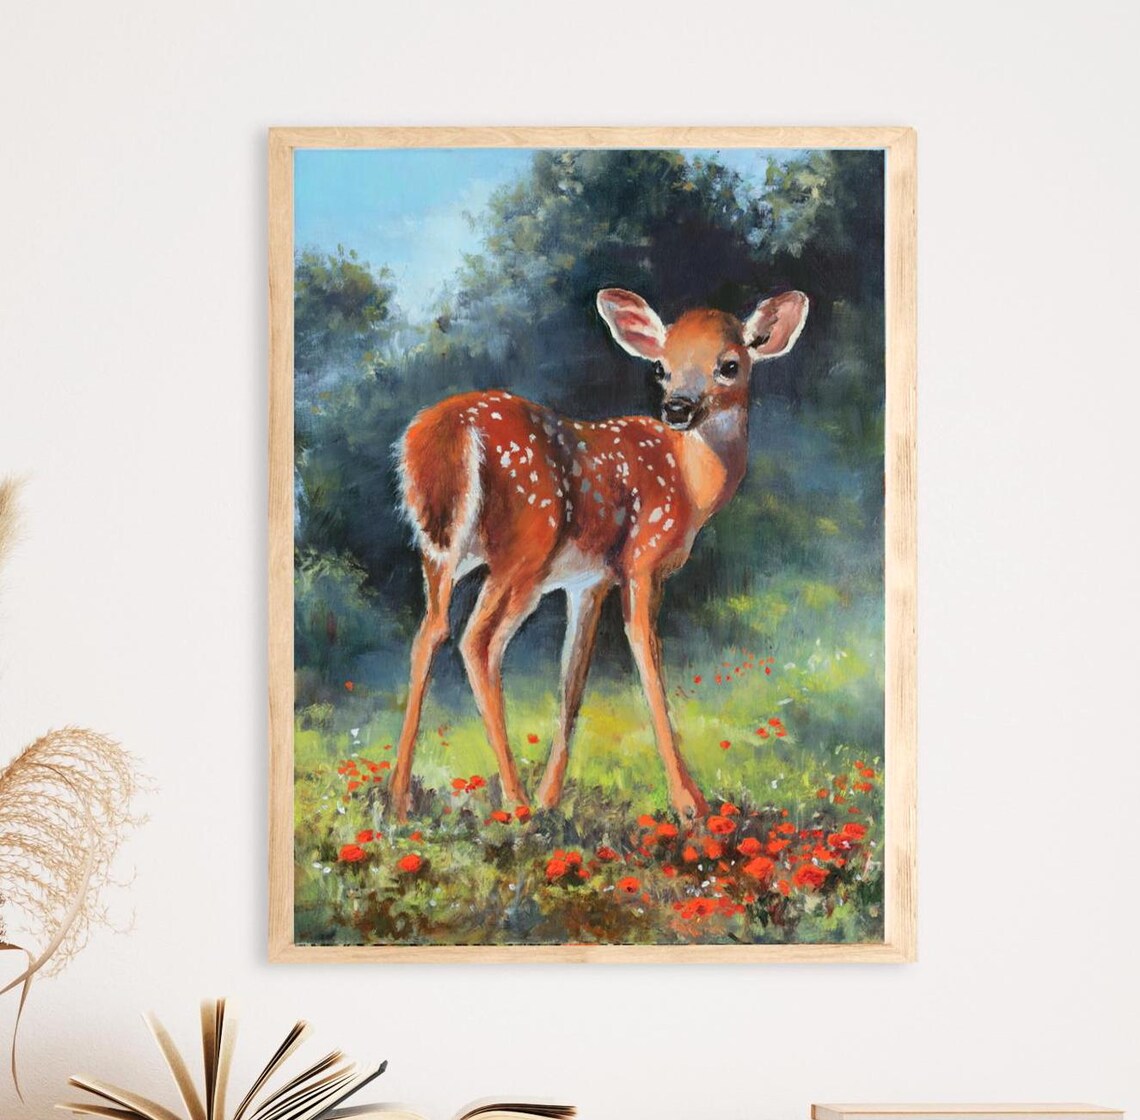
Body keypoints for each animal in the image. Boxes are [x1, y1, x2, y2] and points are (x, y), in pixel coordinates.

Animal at [389, 287, 809, 822]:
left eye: (729, 365)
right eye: (661, 367)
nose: (677, 407)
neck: (690, 483)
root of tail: (442, 433)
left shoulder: (588, 581)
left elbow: (572, 680)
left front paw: (552, 796)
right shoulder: (642, 561)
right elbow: (647, 659)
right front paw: (690, 803)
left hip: (440, 551)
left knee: (430, 632)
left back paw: (401, 800)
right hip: (525, 548)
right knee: (477, 642)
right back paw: (514, 801)